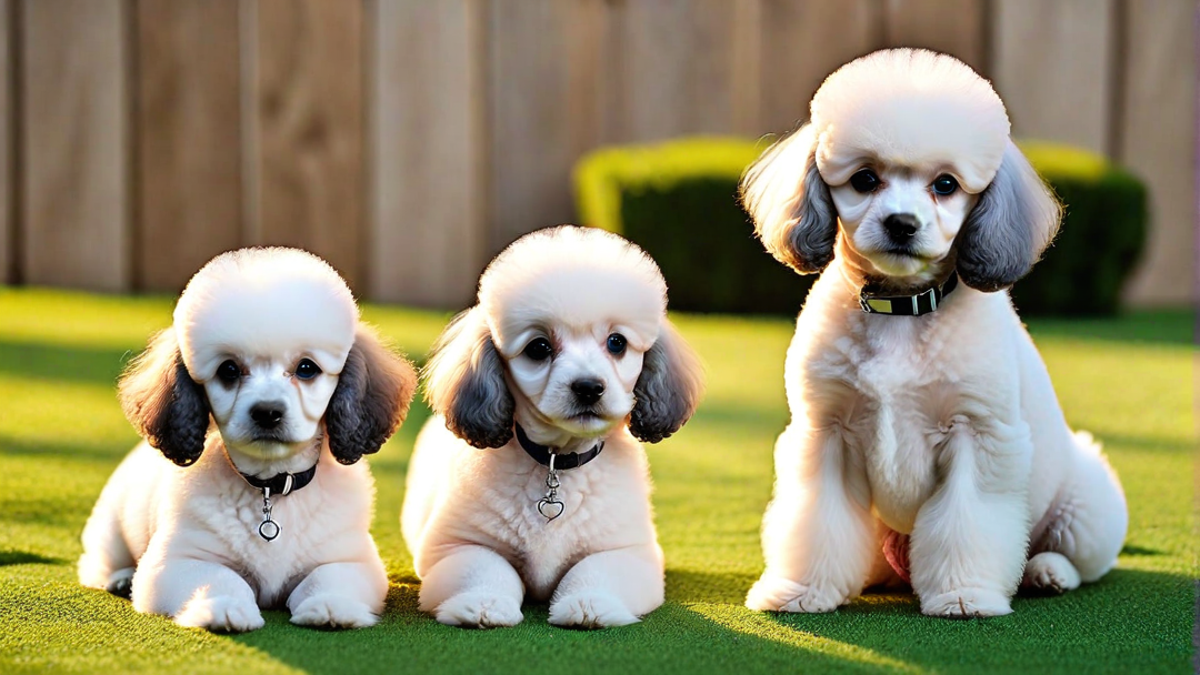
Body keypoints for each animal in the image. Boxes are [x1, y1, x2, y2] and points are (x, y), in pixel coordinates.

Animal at [78, 247, 417, 629]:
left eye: (307, 368)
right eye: (228, 369)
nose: (267, 412)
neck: (271, 490)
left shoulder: (352, 560)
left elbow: (325, 577)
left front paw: (331, 606)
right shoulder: (176, 562)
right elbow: (221, 577)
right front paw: (223, 607)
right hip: (110, 529)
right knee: (97, 562)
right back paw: (119, 577)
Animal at [403, 224, 700, 624]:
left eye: (617, 342)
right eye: (539, 348)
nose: (588, 387)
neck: (557, 463)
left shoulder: (629, 551)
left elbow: (594, 570)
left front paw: (589, 603)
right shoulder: (456, 545)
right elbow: (486, 569)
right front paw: (482, 603)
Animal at [739, 47, 1123, 614]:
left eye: (946, 185)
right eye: (864, 179)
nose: (902, 223)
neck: (902, 311)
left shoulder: (976, 437)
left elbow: (968, 521)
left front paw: (964, 594)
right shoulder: (825, 433)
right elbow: (817, 520)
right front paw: (802, 590)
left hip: (1086, 510)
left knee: (1073, 557)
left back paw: (1047, 572)